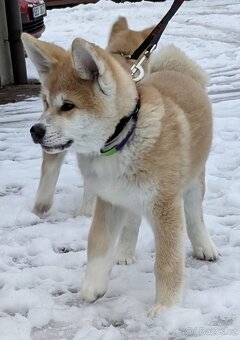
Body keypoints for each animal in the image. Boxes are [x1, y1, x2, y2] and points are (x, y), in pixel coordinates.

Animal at [21, 25, 218, 318]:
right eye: (45, 102)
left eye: (67, 106)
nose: (35, 131)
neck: (124, 137)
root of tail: (176, 72)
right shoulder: (109, 201)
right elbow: (98, 243)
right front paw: (93, 285)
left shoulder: (165, 206)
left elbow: (167, 261)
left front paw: (167, 306)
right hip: (128, 195)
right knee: (132, 222)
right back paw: (124, 251)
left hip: (192, 182)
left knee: (195, 217)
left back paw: (204, 246)